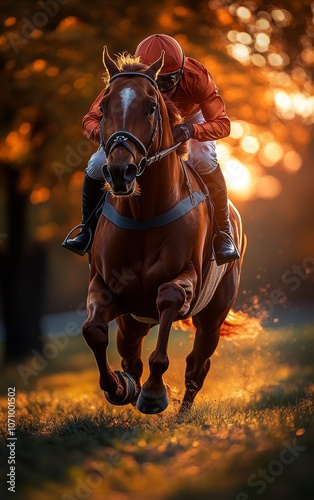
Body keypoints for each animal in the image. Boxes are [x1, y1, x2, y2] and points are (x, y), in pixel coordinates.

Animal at [80, 47, 245, 414]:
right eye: (104, 106)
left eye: (150, 106)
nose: (120, 172)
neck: (145, 214)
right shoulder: (105, 286)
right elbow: (93, 331)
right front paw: (118, 388)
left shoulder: (186, 281)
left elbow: (168, 300)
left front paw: (154, 393)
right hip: (134, 320)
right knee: (130, 356)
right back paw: (129, 384)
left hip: (213, 314)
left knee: (198, 365)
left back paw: (182, 414)